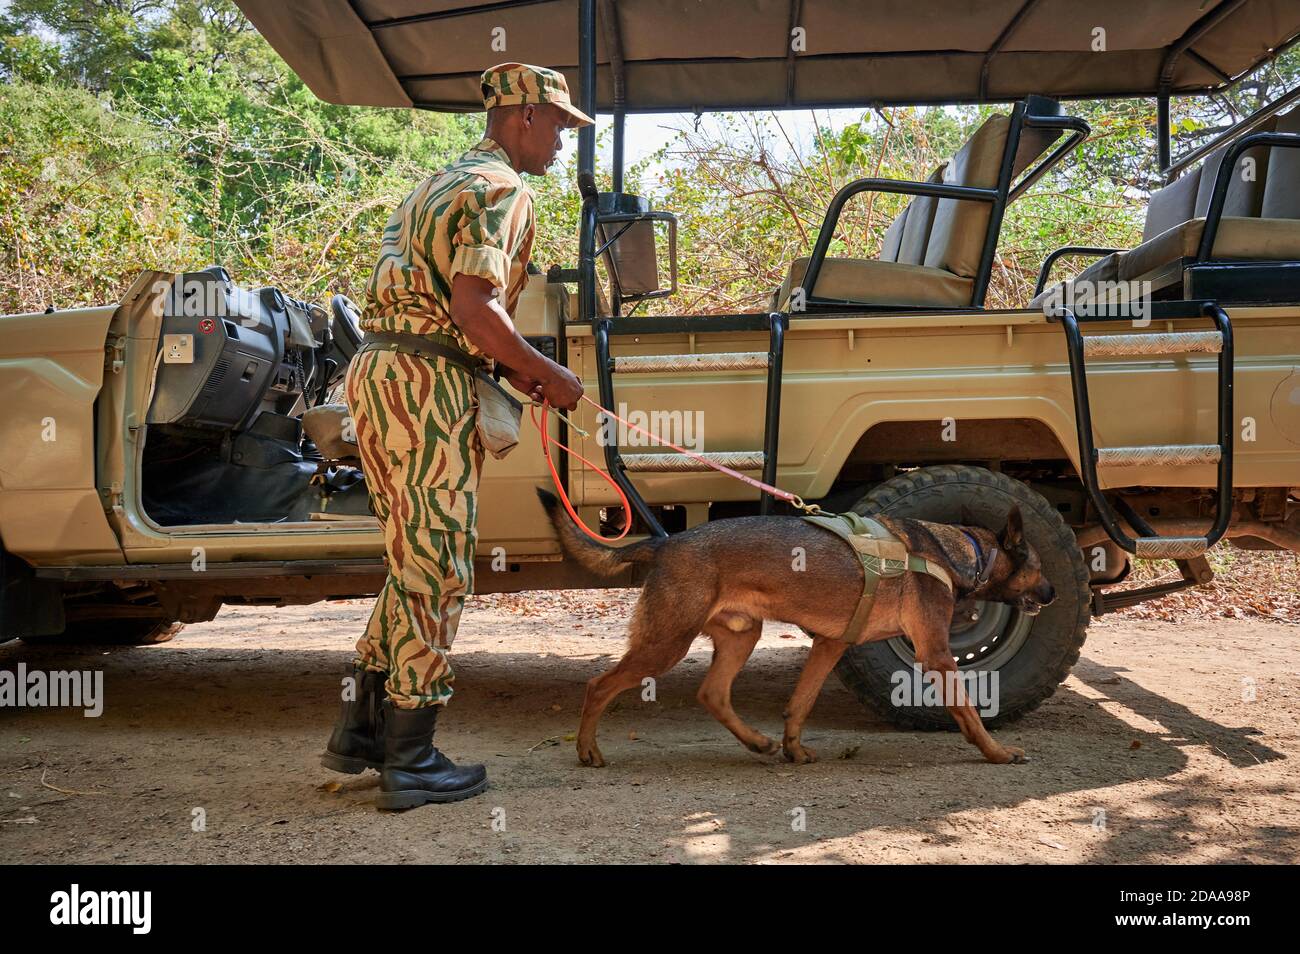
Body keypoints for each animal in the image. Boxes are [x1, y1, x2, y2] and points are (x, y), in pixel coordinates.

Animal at [538, 493, 1055, 769]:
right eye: (1038, 565)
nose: (1052, 592)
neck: (962, 552)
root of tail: (666, 543)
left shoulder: (831, 644)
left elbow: (800, 703)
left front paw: (792, 747)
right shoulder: (936, 655)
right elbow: (969, 711)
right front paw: (997, 752)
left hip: (741, 636)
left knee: (712, 694)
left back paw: (758, 742)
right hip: (667, 643)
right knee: (599, 685)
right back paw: (587, 750)